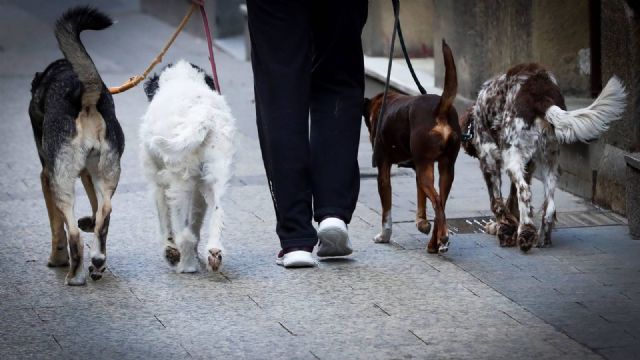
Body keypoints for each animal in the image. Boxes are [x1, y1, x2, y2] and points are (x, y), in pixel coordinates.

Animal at [140, 59, 235, 272]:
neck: (183, 77)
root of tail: (202, 115)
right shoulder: (199, 187)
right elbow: (196, 220)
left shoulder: (158, 183)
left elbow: (165, 221)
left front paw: (170, 250)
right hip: (215, 174)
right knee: (218, 211)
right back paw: (214, 252)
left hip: (179, 183)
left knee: (183, 234)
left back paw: (186, 265)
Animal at [364, 40, 460, 253]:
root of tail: (439, 109)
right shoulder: (417, 168)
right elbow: (421, 199)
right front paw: (421, 223)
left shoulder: (383, 168)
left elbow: (386, 211)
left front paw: (384, 236)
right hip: (445, 167)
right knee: (441, 203)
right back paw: (435, 243)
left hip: (427, 166)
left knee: (438, 202)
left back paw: (441, 239)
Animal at [460, 63, 624, 252]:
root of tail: (541, 95)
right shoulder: (528, 165)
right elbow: (511, 201)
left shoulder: (489, 161)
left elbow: (498, 203)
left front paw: (503, 231)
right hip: (549, 161)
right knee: (549, 207)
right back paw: (541, 239)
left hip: (512, 158)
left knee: (524, 192)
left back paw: (526, 234)